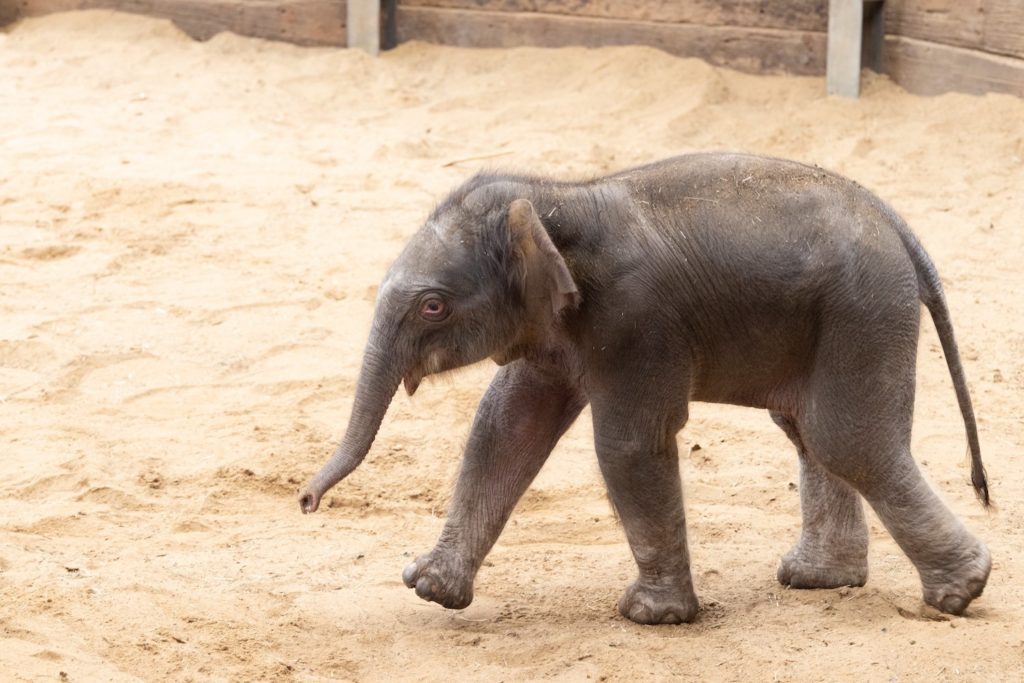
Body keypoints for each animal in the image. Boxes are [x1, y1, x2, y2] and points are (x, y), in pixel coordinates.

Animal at [298, 153, 991, 624]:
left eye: (434, 306)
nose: (305, 503)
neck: (558, 198)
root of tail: (898, 226)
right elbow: (505, 427)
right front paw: (431, 589)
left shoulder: (635, 321)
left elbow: (628, 445)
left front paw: (652, 617)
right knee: (810, 432)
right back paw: (819, 580)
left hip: (862, 311)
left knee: (847, 439)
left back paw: (961, 592)